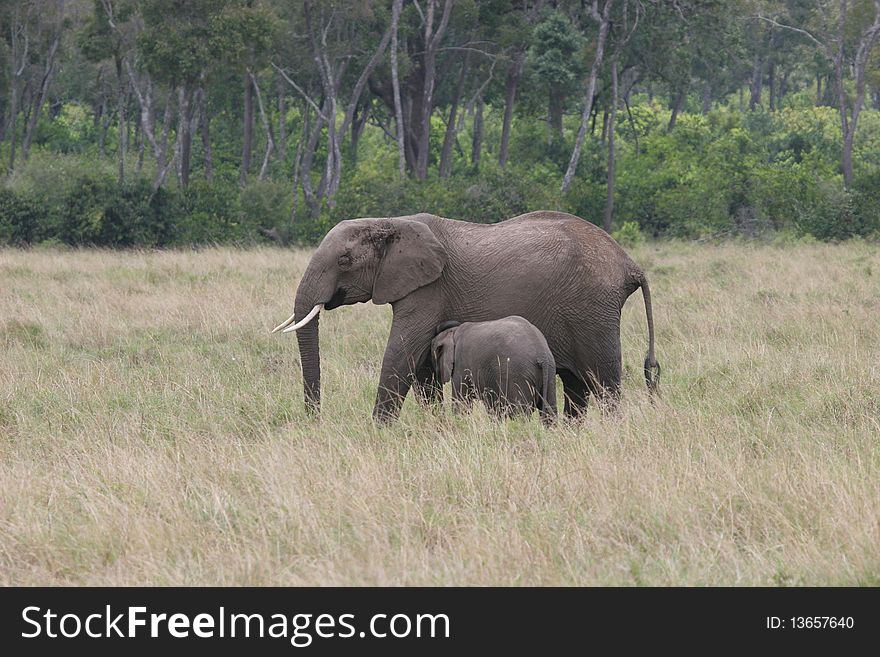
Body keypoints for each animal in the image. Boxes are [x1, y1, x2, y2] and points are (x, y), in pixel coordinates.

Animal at [428, 316, 556, 426]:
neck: (452, 332)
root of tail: (542, 353)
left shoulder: (461, 364)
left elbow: (461, 403)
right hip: (549, 373)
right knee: (550, 412)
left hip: (518, 376)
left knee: (520, 414)